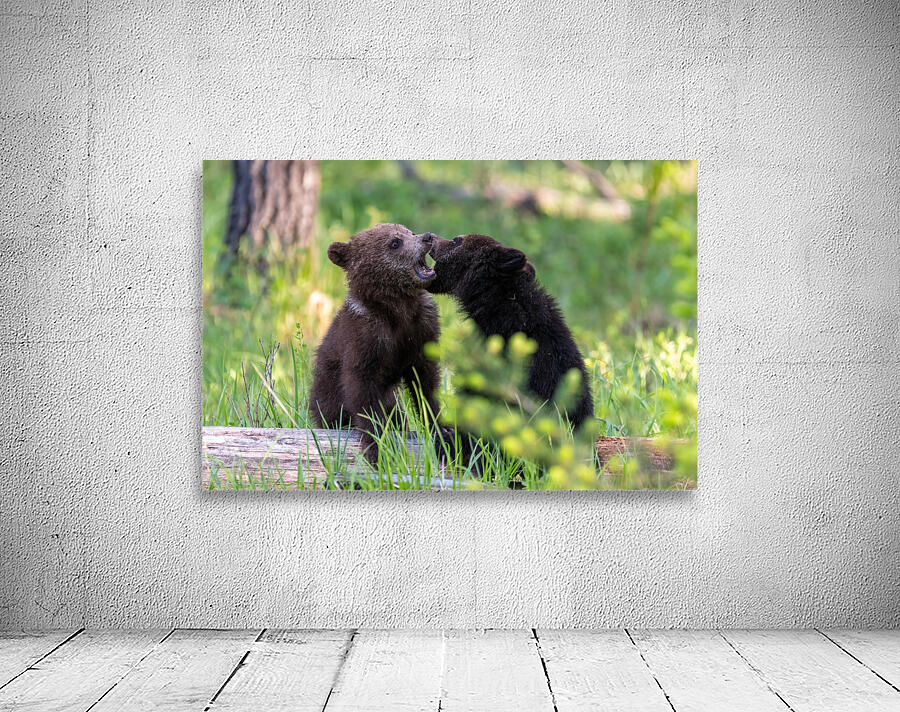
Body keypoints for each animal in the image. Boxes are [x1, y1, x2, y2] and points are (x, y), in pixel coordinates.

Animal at [310, 223, 442, 463]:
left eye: (409, 231)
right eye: (395, 242)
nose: (427, 237)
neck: (398, 308)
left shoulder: (421, 329)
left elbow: (426, 382)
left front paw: (441, 428)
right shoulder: (365, 338)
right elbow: (362, 392)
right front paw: (376, 447)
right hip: (327, 394)